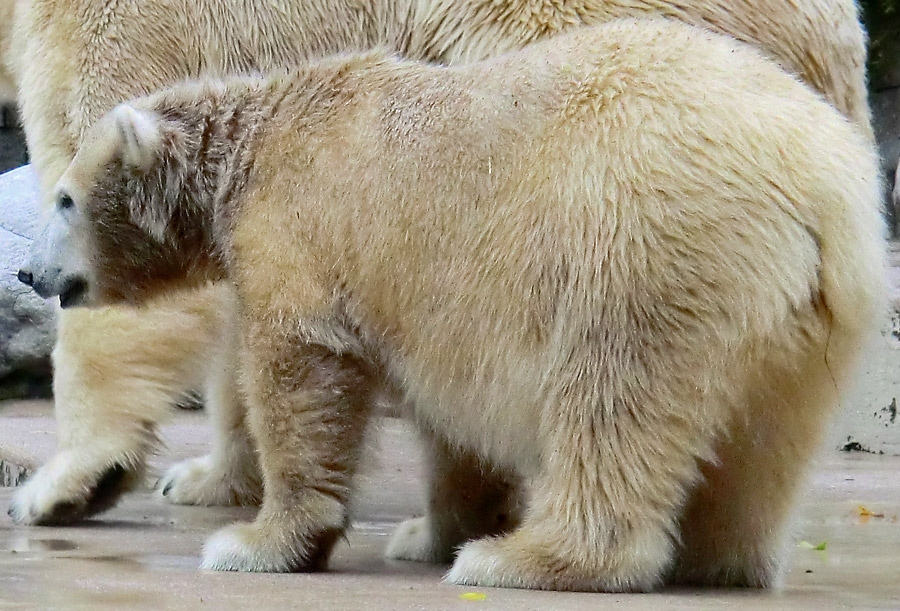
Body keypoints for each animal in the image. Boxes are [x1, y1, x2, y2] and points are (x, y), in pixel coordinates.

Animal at [21, 21, 884, 592]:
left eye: (64, 198)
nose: (29, 272)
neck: (252, 142)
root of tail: (816, 183)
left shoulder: (306, 227)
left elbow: (303, 369)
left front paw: (257, 541)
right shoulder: (433, 300)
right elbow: (450, 418)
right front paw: (426, 531)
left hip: (640, 241)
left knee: (610, 397)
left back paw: (528, 558)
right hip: (812, 324)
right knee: (762, 444)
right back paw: (719, 557)